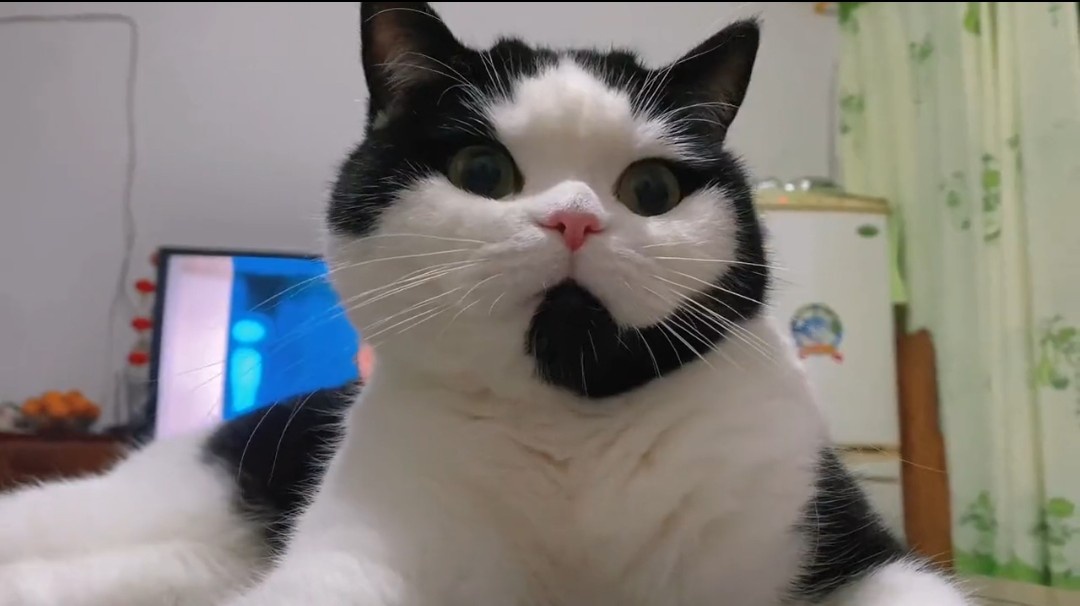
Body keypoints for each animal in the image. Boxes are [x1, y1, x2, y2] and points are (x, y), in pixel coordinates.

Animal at [0, 3, 973, 605]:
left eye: (651, 189)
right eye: (482, 171)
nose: (577, 220)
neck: (571, 432)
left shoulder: (840, 542)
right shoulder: (358, 554)